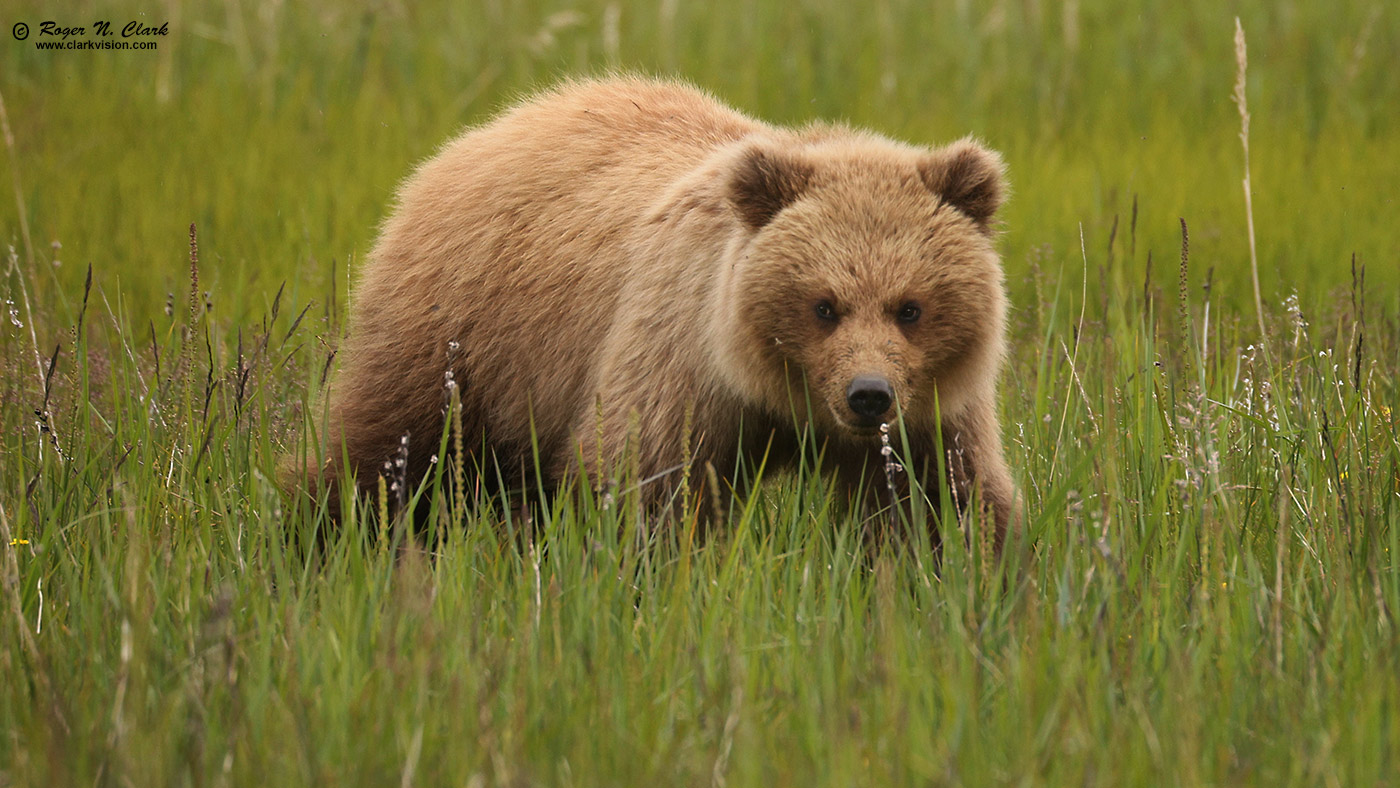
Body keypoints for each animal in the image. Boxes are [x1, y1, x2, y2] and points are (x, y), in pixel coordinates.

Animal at [312, 76, 1019, 545]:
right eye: (824, 306)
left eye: (910, 307)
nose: (868, 394)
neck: (778, 396)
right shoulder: (681, 360)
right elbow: (644, 487)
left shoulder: (932, 413)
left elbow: (948, 504)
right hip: (463, 333)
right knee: (390, 456)